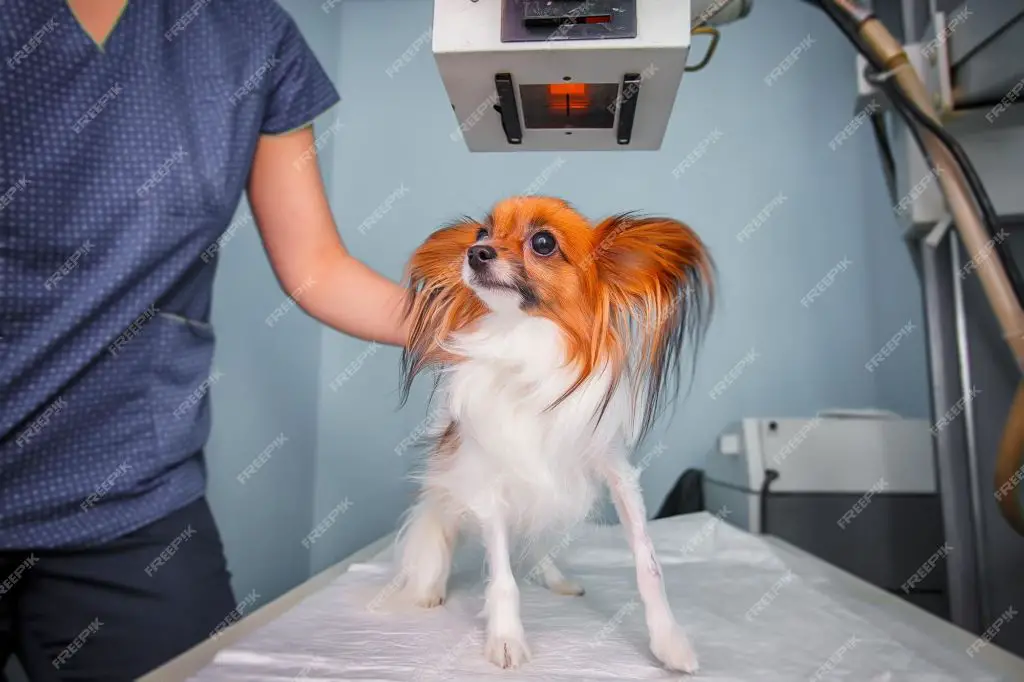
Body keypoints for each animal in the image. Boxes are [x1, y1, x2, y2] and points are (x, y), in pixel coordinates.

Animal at [391, 193, 712, 671]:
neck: (525, 338)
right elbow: (502, 575)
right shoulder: (491, 485)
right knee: (441, 528)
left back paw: (557, 579)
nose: (474, 252)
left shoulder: (616, 473)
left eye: (543, 243)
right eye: (482, 233)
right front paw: (506, 638)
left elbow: (648, 563)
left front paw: (669, 640)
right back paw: (431, 587)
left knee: (537, 541)